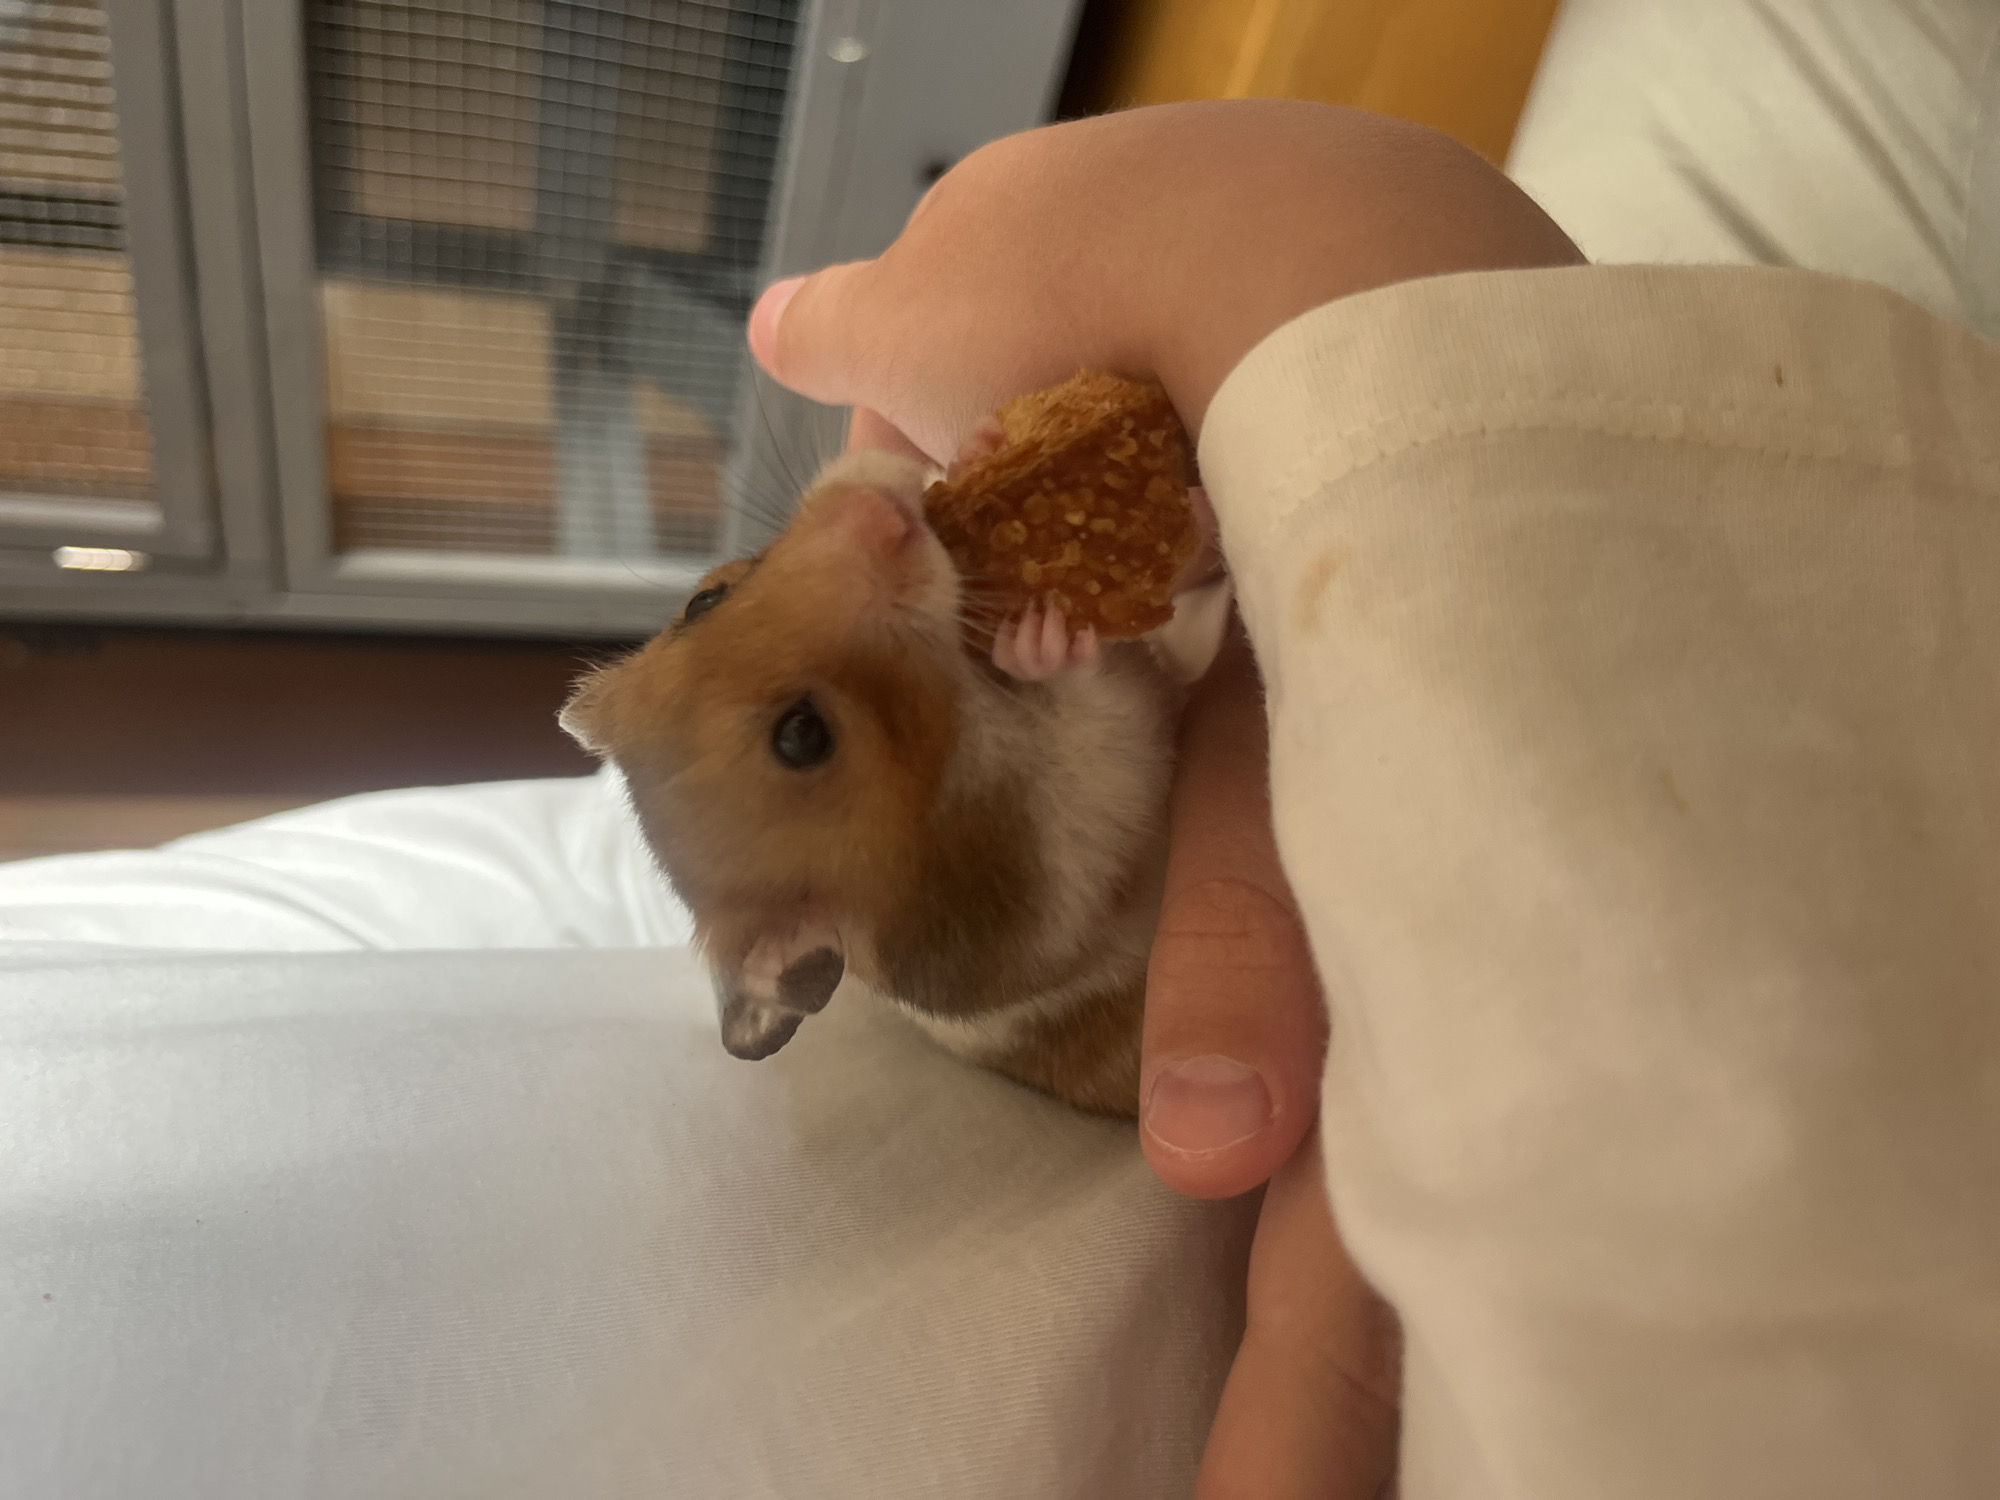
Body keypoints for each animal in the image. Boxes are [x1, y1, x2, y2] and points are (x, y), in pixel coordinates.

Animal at [562, 446, 1223, 1115]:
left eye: (704, 602)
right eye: (801, 735)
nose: (878, 508)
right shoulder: (1065, 863)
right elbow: (1104, 719)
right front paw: (1037, 640)